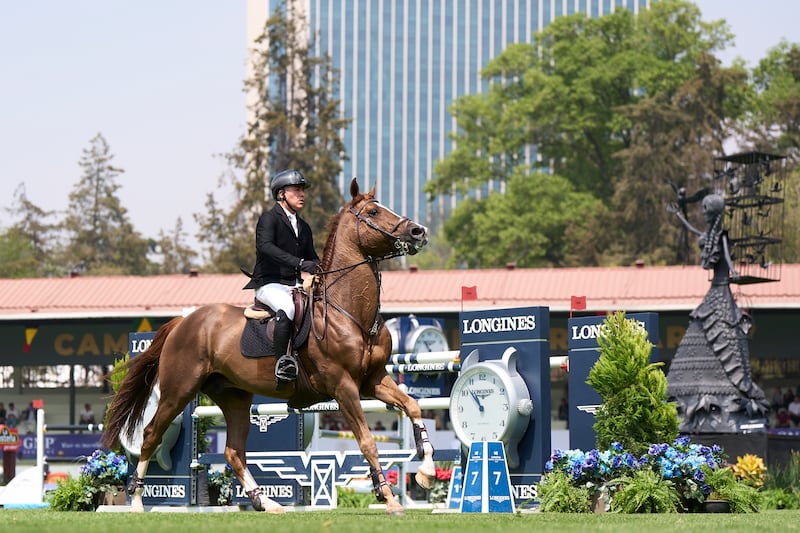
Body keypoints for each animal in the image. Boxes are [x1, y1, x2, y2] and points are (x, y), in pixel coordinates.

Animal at [104, 178, 438, 512]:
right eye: (373, 211)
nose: (418, 231)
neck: (349, 312)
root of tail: (182, 322)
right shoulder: (343, 387)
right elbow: (367, 440)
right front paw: (390, 498)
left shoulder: (373, 380)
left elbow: (413, 405)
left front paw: (426, 471)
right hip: (179, 390)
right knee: (151, 434)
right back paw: (137, 501)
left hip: (234, 396)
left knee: (234, 451)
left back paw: (266, 502)